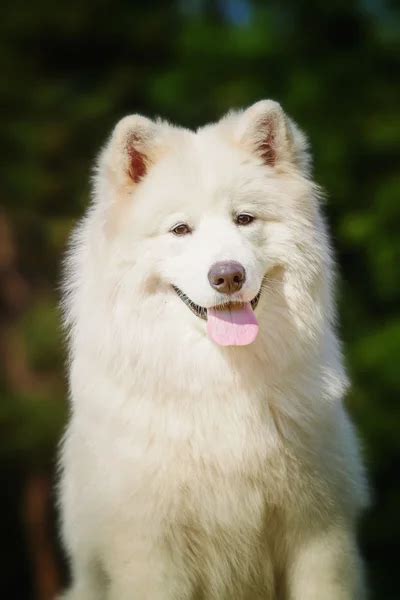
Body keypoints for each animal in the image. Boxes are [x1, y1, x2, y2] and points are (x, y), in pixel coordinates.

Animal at [57, 101, 368, 596]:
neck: (221, 380)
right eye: (181, 229)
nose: (228, 275)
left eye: (244, 219)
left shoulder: (319, 534)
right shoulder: (151, 552)